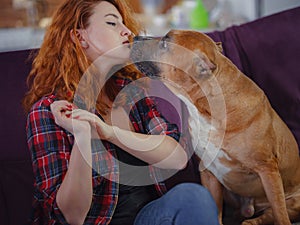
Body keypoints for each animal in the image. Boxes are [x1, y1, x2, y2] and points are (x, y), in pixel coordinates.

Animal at [130, 30, 300, 225]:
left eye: (165, 43)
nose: (135, 37)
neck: (208, 112)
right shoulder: (208, 172)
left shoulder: (267, 170)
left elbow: (280, 213)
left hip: (292, 201)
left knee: (272, 213)